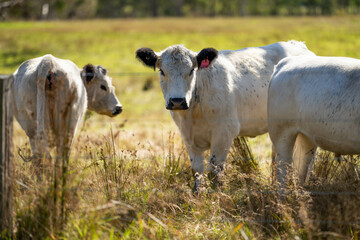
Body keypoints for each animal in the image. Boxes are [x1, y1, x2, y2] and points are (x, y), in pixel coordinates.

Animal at [136, 40, 314, 191]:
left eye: (191, 70)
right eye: (162, 71)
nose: (177, 101)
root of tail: (298, 45)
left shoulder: (224, 133)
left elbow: (213, 171)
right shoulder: (188, 137)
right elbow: (197, 171)